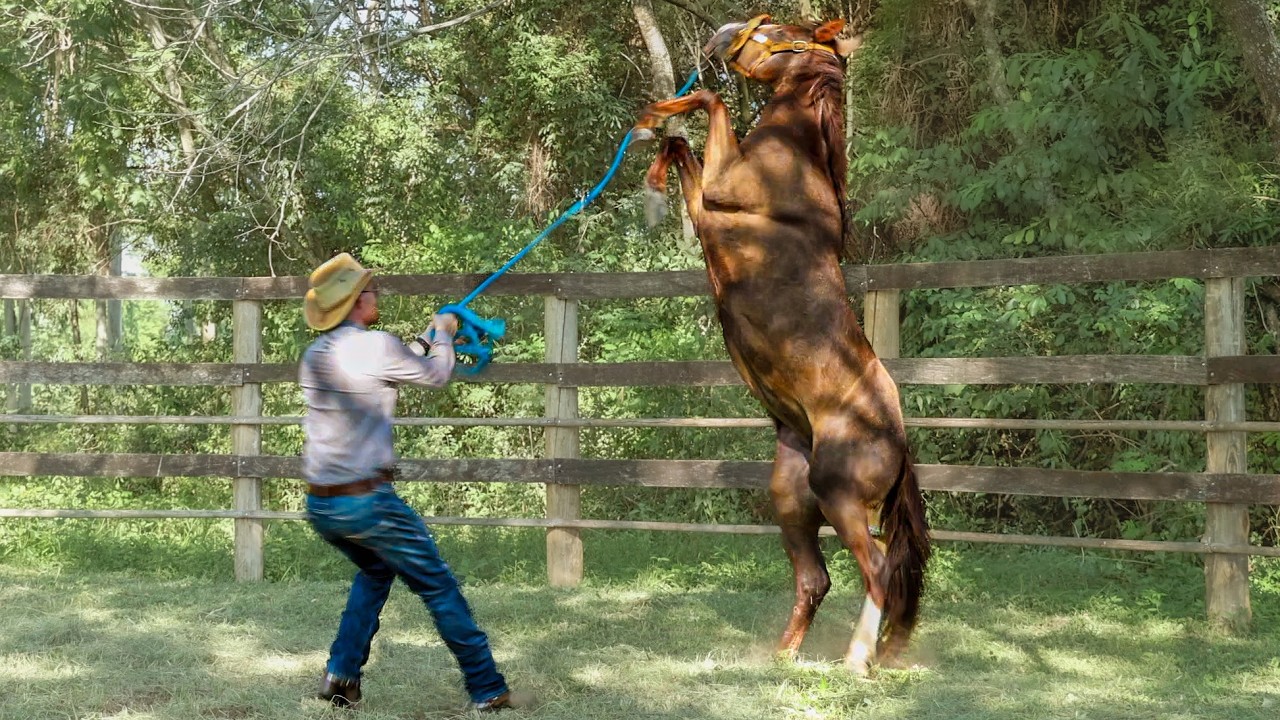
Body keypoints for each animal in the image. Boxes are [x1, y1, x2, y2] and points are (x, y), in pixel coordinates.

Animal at [632, 16, 931, 675]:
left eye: (773, 28)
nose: (721, 33)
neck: (794, 162)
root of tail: (897, 444)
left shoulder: (723, 187)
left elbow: (710, 104)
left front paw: (652, 121)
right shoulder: (707, 202)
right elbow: (681, 149)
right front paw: (653, 180)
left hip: (838, 496)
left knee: (878, 568)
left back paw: (856, 661)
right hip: (791, 496)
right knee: (816, 578)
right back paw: (788, 656)